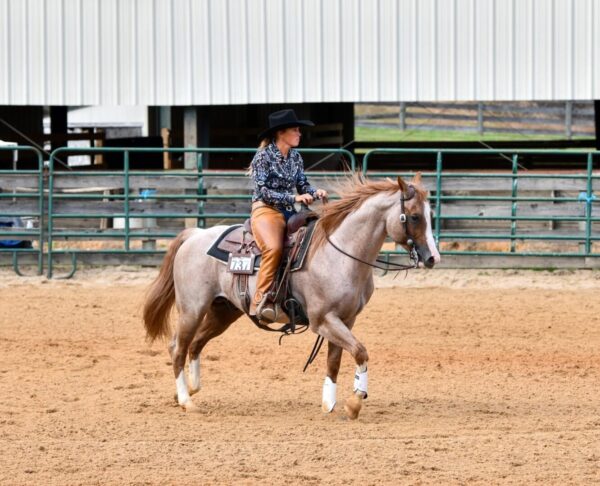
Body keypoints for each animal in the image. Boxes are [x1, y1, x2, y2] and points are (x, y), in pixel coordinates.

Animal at [142, 173, 438, 420]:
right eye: (414, 216)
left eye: (430, 214)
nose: (433, 258)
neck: (340, 253)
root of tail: (196, 234)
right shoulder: (323, 320)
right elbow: (360, 351)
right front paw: (355, 402)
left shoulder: (345, 319)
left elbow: (335, 360)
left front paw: (329, 403)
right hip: (192, 308)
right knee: (178, 347)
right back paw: (186, 399)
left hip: (223, 311)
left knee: (195, 344)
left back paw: (190, 389)